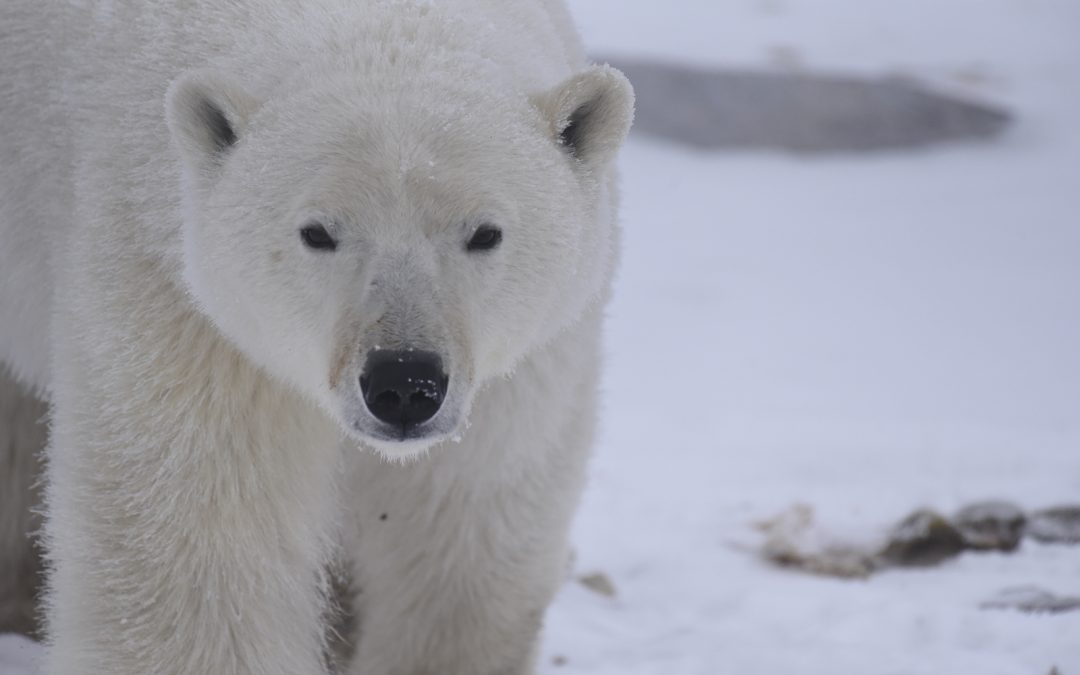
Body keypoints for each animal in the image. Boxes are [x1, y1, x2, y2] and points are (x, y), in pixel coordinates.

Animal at [0, 1, 634, 674]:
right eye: (317, 232)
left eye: (485, 232)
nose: (403, 383)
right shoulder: (174, 292)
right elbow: (198, 543)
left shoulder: (522, 366)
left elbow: (459, 532)